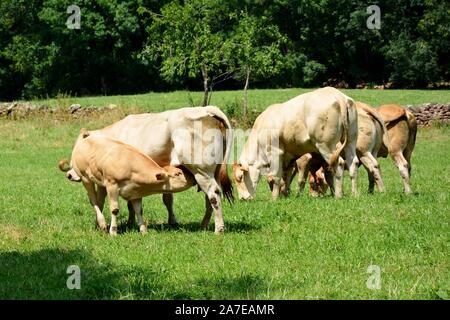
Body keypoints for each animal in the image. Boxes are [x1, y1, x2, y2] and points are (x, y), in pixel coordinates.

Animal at [61, 106, 234, 234]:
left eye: (76, 150)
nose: (70, 174)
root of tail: (206, 110)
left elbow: (105, 200)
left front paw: (106, 225)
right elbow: (161, 199)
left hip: (201, 171)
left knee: (213, 195)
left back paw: (218, 229)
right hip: (212, 172)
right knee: (210, 197)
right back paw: (204, 225)